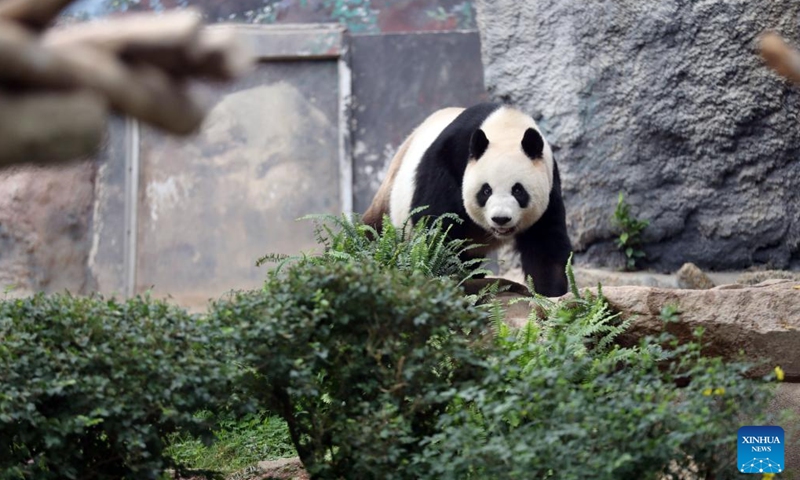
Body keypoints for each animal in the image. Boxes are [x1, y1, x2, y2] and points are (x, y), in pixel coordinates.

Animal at [366, 102, 572, 296]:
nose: (501, 219)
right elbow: (436, 227)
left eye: (518, 190)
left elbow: (545, 241)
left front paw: (550, 293)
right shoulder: (449, 161)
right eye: (486, 191)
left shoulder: (550, 184)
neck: (507, 127)